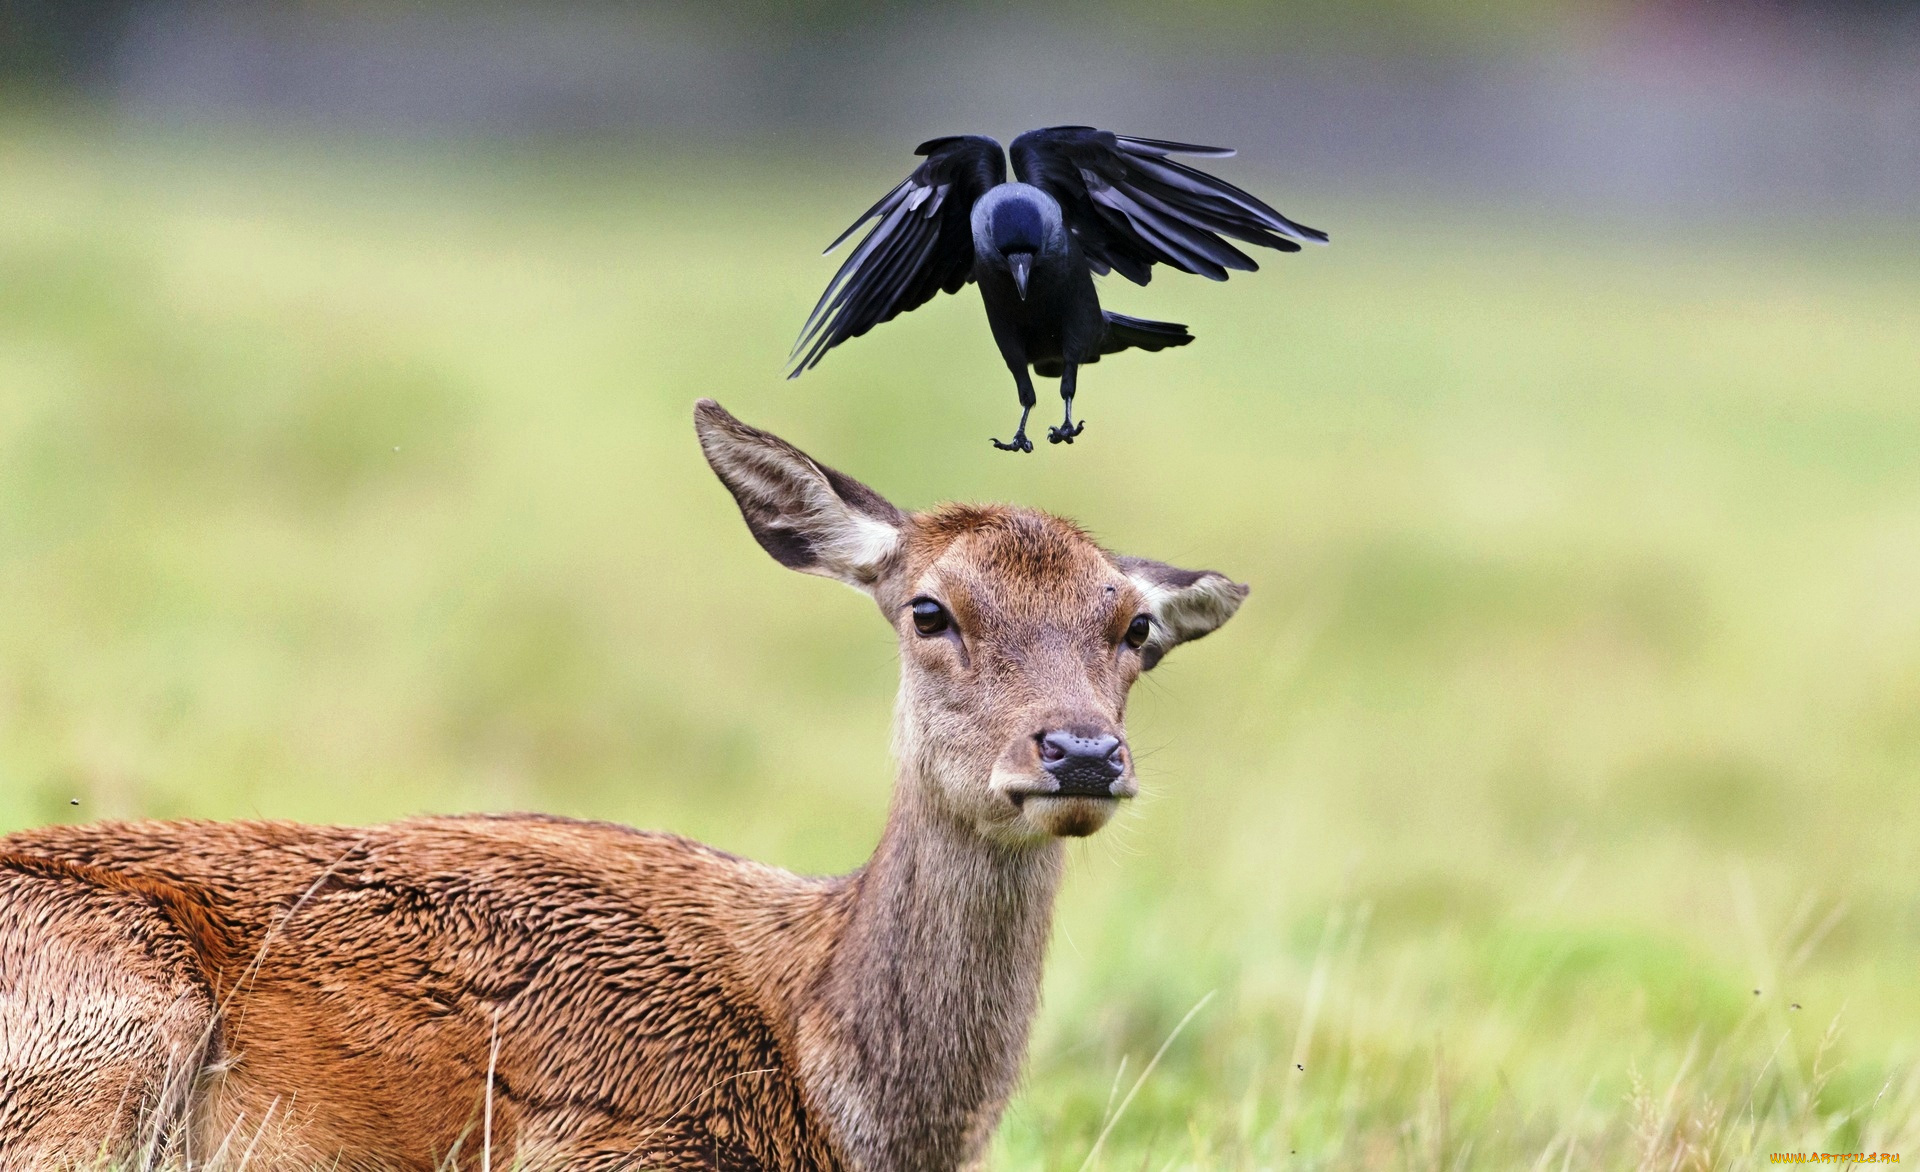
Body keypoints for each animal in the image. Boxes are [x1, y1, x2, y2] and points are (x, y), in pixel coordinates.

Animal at [0, 401, 1251, 1168]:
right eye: (931, 608)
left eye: (1134, 627)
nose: (1080, 751)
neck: (833, 1090)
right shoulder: (608, 1139)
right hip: (112, 1019)